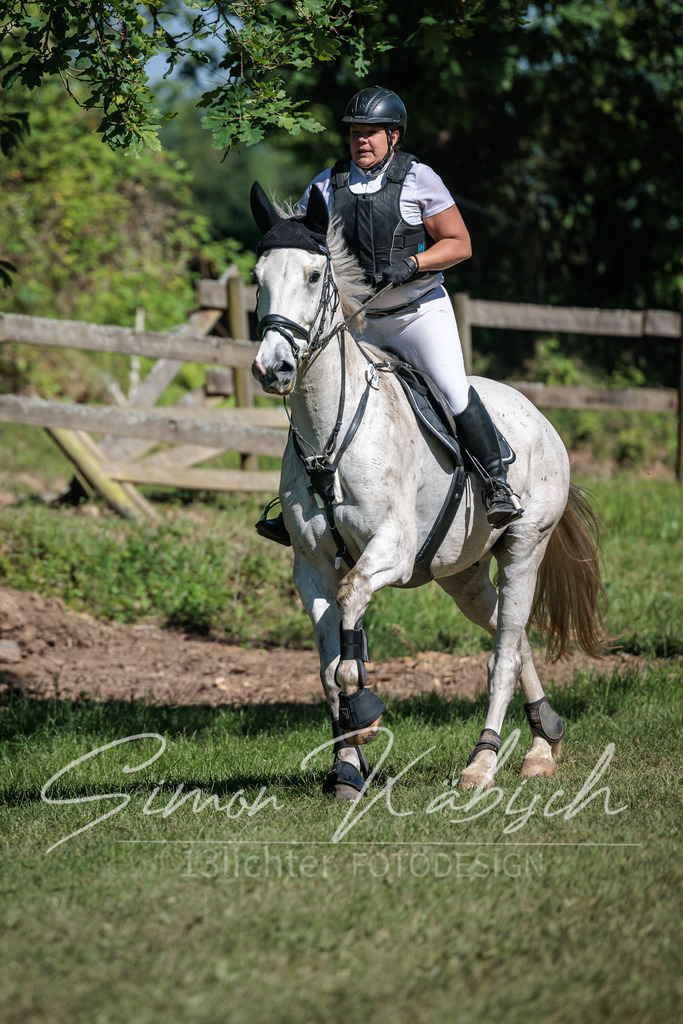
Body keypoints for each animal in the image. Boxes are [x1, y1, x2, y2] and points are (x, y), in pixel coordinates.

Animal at [249, 181, 607, 800]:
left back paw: (483, 762)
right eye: (257, 275)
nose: (273, 368)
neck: (327, 437)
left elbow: (349, 635)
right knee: (512, 638)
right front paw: (347, 769)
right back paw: (544, 743)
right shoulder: (311, 566)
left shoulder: (389, 551)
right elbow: (328, 666)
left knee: (504, 650)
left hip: (523, 549)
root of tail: (540, 417)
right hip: (463, 575)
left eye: (314, 276)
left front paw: (366, 718)